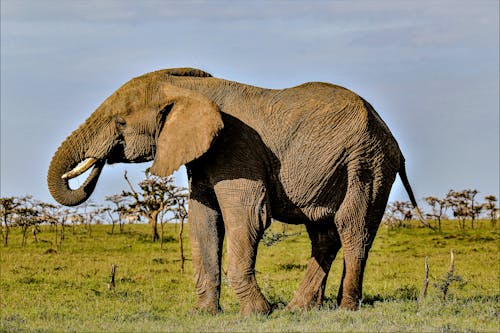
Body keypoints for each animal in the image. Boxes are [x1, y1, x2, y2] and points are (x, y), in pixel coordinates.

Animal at [47, 67, 426, 314]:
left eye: (121, 122)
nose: (100, 159)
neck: (187, 88)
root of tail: (392, 137)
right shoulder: (205, 154)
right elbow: (203, 221)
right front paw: (205, 314)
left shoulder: (236, 147)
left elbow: (247, 218)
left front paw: (258, 313)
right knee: (324, 234)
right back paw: (298, 309)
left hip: (367, 163)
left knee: (352, 228)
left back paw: (345, 309)